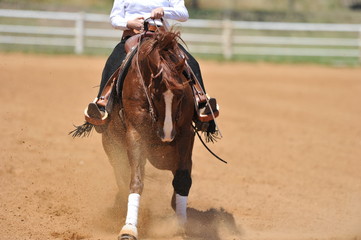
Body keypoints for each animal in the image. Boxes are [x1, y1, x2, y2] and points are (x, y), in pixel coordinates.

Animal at [101, 29, 195, 239]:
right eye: (154, 93)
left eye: (181, 95)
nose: (167, 133)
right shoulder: (135, 134)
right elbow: (135, 181)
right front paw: (129, 228)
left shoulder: (186, 133)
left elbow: (182, 179)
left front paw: (181, 226)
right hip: (111, 144)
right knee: (121, 174)